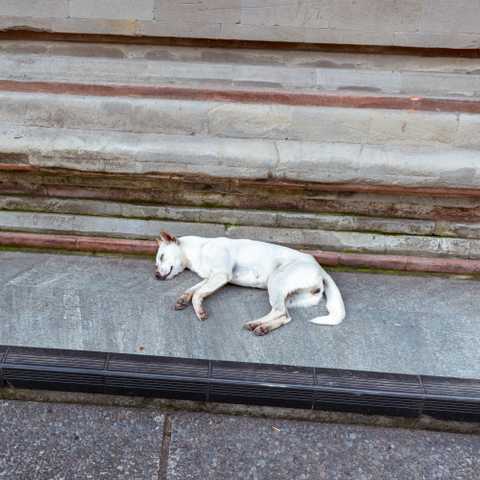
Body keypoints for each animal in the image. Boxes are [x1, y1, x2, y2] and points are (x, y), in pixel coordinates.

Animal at [156, 231, 346, 336]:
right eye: (157, 263)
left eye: (161, 257)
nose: (156, 275)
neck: (199, 250)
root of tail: (319, 267)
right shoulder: (210, 278)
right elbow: (192, 290)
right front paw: (183, 299)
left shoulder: (221, 275)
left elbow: (197, 294)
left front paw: (199, 311)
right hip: (289, 298)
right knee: (285, 316)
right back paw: (262, 327)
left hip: (275, 281)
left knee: (279, 311)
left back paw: (257, 324)